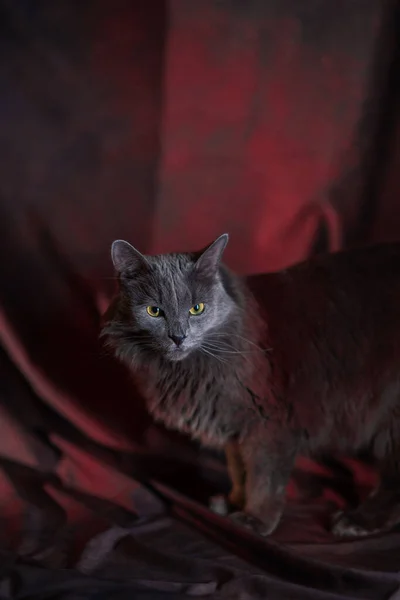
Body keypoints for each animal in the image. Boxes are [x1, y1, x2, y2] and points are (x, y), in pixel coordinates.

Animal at [100, 236, 400, 540]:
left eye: (197, 308)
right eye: (154, 311)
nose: (178, 337)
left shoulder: (269, 424)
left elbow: (263, 479)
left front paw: (255, 519)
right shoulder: (234, 424)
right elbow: (239, 471)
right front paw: (233, 503)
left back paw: (357, 521)